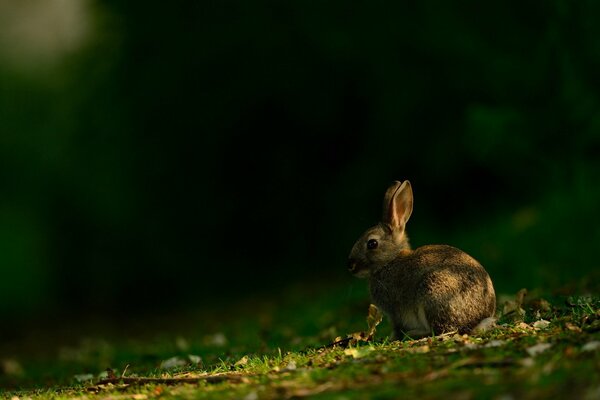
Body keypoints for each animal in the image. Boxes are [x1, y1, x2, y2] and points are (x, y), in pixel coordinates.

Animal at [346, 180, 496, 340]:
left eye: (372, 243)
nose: (350, 265)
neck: (390, 261)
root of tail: (477, 320)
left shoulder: (395, 311)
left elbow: (397, 327)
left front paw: (392, 338)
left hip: (433, 294)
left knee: (444, 330)